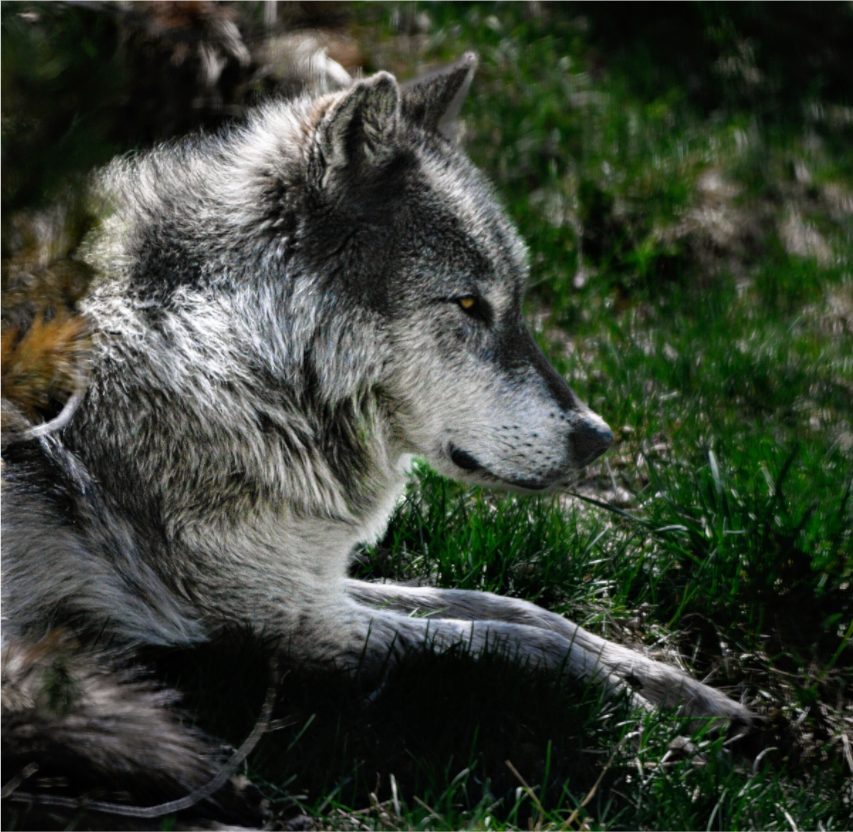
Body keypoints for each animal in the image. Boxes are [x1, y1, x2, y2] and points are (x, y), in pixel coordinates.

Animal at [0, 53, 750, 783]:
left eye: (515, 302)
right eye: (469, 305)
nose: (598, 437)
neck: (222, 350)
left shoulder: (311, 577)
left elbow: (510, 607)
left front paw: (680, 689)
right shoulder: (286, 619)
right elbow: (510, 642)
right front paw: (624, 701)